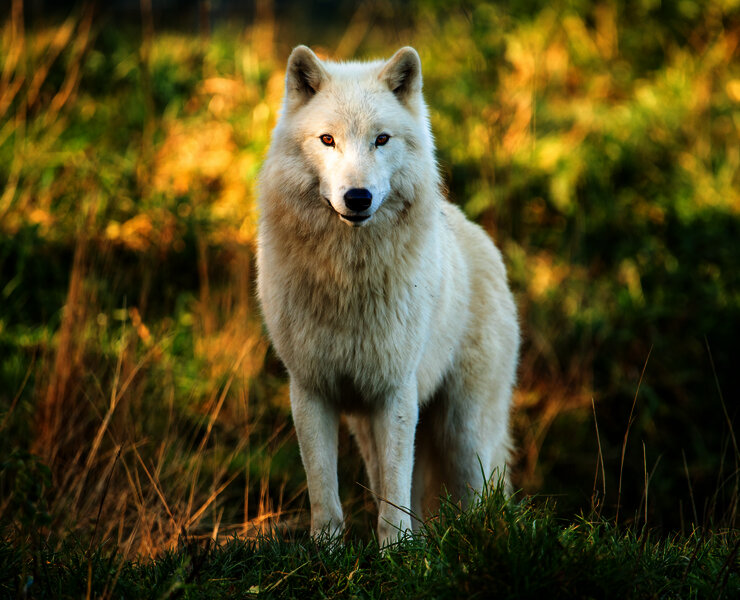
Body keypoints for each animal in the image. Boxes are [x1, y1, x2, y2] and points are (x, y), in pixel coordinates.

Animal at [256, 45, 519, 547]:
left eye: (381, 139)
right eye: (327, 140)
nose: (357, 197)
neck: (347, 278)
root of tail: (482, 238)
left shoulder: (396, 391)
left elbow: (395, 497)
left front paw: (398, 552)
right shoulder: (311, 389)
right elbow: (325, 491)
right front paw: (327, 550)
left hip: (463, 432)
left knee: (483, 495)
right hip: (370, 428)